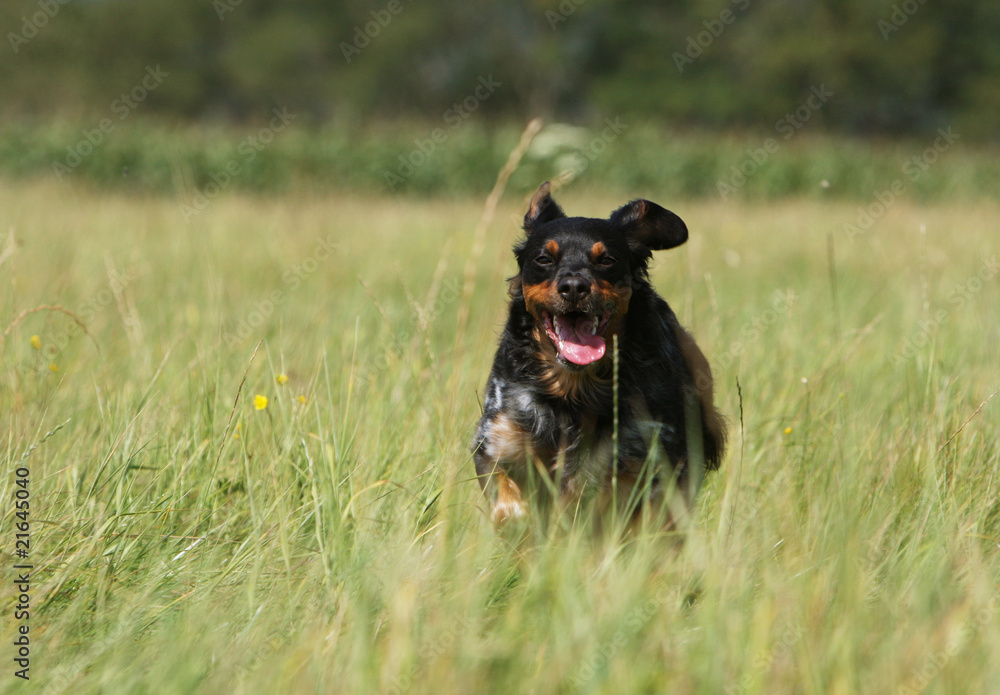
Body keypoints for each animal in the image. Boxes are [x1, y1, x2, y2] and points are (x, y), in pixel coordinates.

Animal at [472, 185, 724, 528]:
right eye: (543, 259)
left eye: (606, 259)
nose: (574, 287)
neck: (574, 389)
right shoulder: (498, 439)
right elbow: (508, 501)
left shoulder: (648, 460)